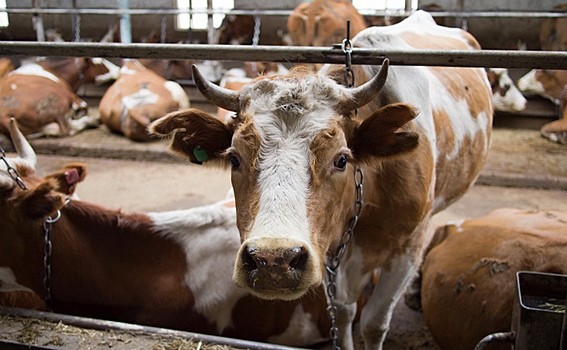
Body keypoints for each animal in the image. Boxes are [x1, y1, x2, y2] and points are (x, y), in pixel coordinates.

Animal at [150, 10, 492, 350]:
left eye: (341, 159)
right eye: (234, 158)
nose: (274, 260)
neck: (366, 202)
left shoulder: (408, 247)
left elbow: (374, 323)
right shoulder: (326, 249)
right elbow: (343, 312)